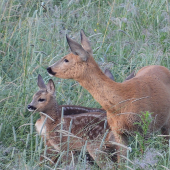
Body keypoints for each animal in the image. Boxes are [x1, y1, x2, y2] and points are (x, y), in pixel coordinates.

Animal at [46, 29, 170, 162]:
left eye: (66, 59)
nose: (49, 68)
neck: (121, 101)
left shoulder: (145, 127)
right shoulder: (118, 132)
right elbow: (122, 161)